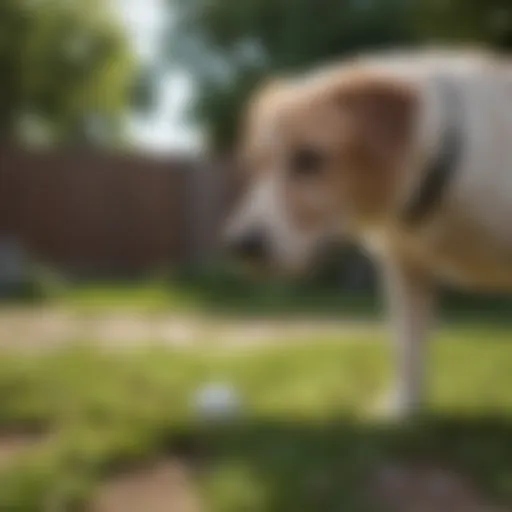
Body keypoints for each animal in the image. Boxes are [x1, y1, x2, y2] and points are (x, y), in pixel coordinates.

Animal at [226, 50, 512, 418]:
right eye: (255, 165)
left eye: (309, 158)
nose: (240, 245)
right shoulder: (405, 268)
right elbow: (407, 347)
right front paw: (403, 408)